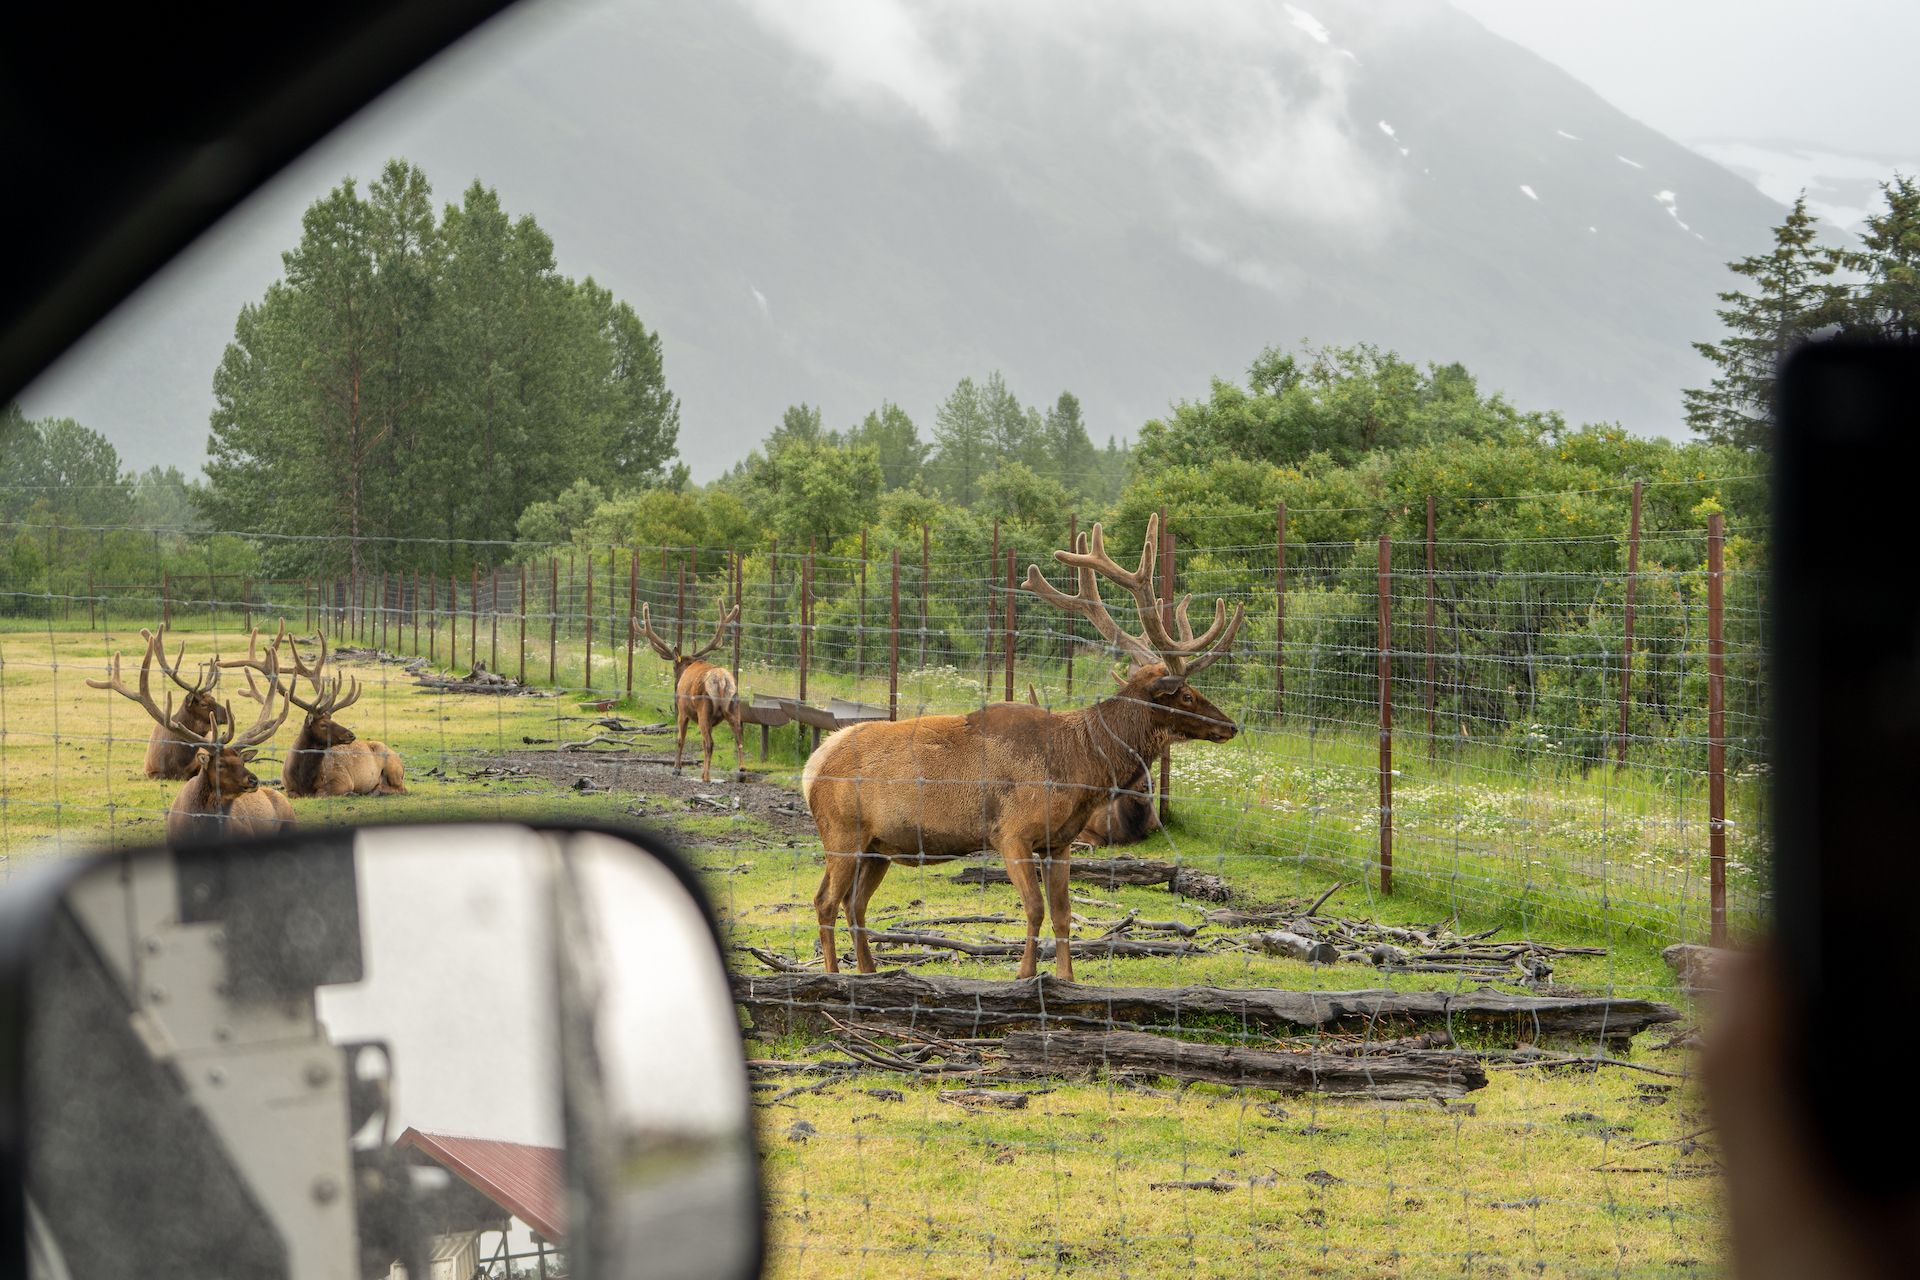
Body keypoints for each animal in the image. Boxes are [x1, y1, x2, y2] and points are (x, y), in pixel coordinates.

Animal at [637, 602, 741, 790]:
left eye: (673, 667)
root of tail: (722, 680)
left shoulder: (682, 710)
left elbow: (680, 739)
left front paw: (676, 769)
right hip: (734, 706)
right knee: (738, 738)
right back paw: (741, 771)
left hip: (703, 708)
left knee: (709, 743)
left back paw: (706, 777)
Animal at [806, 514, 1244, 982]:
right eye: (1187, 695)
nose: (1230, 725)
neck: (1080, 769)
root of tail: (812, 766)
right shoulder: (1011, 832)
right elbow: (1034, 908)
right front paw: (1023, 975)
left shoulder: (1059, 841)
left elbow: (1064, 913)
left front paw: (1067, 978)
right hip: (842, 832)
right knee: (825, 901)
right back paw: (833, 974)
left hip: (878, 846)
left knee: (855, 903)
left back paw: (869, 972)